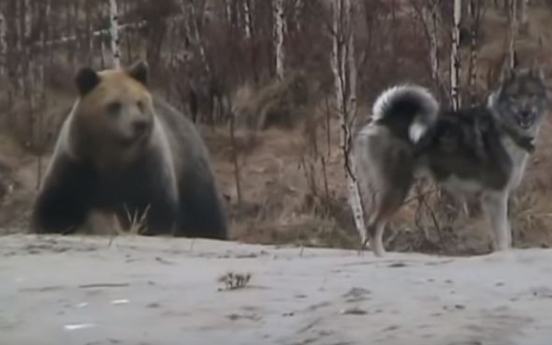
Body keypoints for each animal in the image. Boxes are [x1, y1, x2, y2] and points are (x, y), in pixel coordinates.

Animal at [29, 60, 229, 238]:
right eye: (115, 105)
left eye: (139, 103)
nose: (139, 123)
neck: (115, 155)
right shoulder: (79, 162)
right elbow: (58, 201)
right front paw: (50, 224)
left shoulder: (145, 165)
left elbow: (154, 205)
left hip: (190, 170)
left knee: (204, 211)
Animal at [354, 63, 548, 255]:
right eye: (514, 97)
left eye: (531, 95)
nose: (525, 112)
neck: (504, 128)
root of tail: (384, 119)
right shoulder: (495, 195)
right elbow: (502, 238)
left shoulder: (502, 197)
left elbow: (506, 235)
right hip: (397, 187)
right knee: (373, 227)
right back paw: (382, 256)